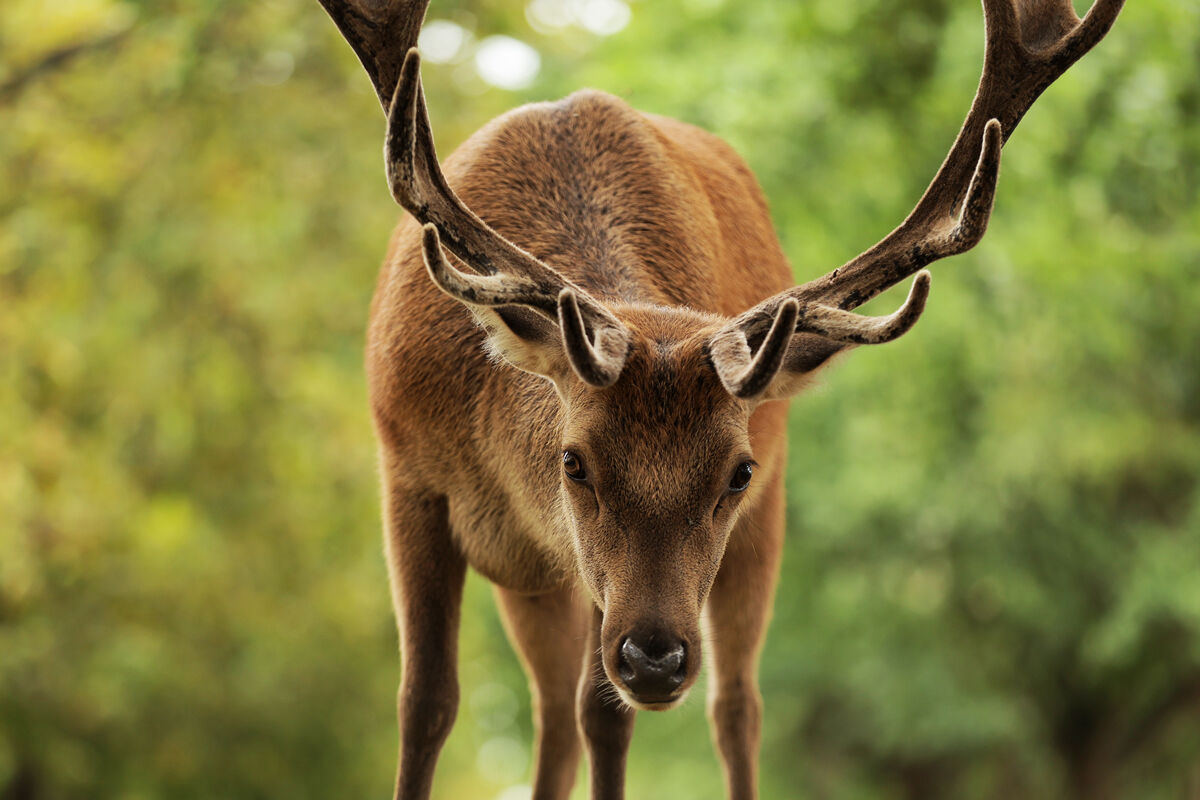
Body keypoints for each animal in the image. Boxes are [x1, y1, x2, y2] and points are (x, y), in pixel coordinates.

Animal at [314, 0, 1123, 797]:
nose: (655, 659)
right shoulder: (405, 475)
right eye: (574, 462)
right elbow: (425, 702)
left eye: (737, 470)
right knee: (553, 721)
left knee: (725, 709)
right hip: (541, 587)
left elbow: (603, 717)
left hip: (757, 530)